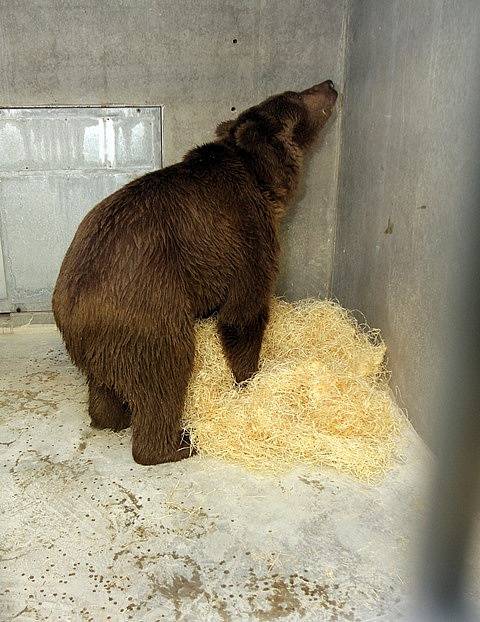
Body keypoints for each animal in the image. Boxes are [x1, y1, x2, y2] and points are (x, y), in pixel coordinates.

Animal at [52, 80, 338, 466]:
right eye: (296, 97)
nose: (330, 84)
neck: (262, 178)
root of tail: (70, 305)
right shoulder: (247, 238)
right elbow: (243, 314)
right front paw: (247, 378)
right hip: (145, 312)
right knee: (166, 374)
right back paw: (179, 442)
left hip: (101, 341)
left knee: (106, 387)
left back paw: (114, 416)